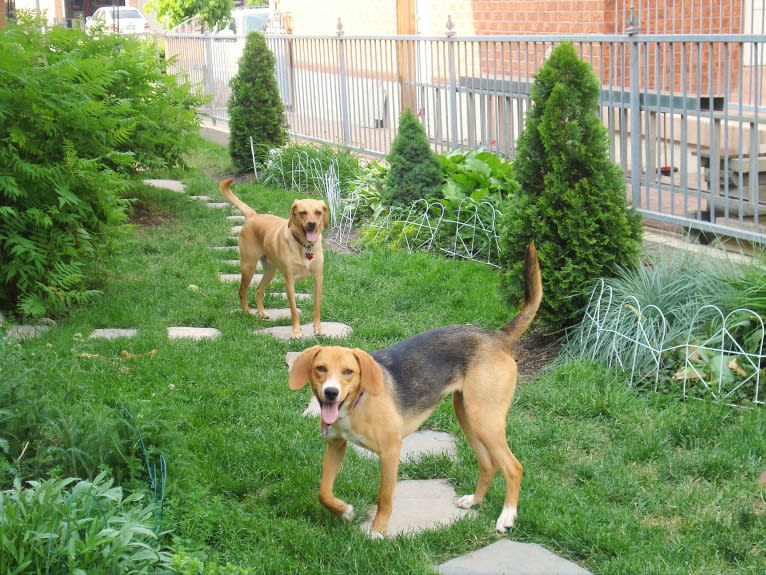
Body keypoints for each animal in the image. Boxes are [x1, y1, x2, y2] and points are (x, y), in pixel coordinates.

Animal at [222, 178, 330, 340]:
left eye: (318, 212)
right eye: (302, 213)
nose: (312, 224)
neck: (305, 246)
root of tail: (253, 216)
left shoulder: (318, 278)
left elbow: (317, 307)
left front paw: (318, 329)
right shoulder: (289, 280)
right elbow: (294, 310)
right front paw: (296, 332)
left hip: (270, 271)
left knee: (259, 290)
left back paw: (261, 312)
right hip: (248, 266)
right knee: (242, 290)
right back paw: (246, 313)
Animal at [290, 242, 544, 536]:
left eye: (348, 372)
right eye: (320, 368)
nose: (331, 393)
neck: (356, 405)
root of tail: (496, 336)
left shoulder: (391, 451)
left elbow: (384, 497)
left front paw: (377, 531)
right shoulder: (336, 445)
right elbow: (323, 492)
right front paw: (344, 511)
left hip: (485, 420)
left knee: (513, 467)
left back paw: (507, 517)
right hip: (468, 416)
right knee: (489, 463)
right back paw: (474, 501)